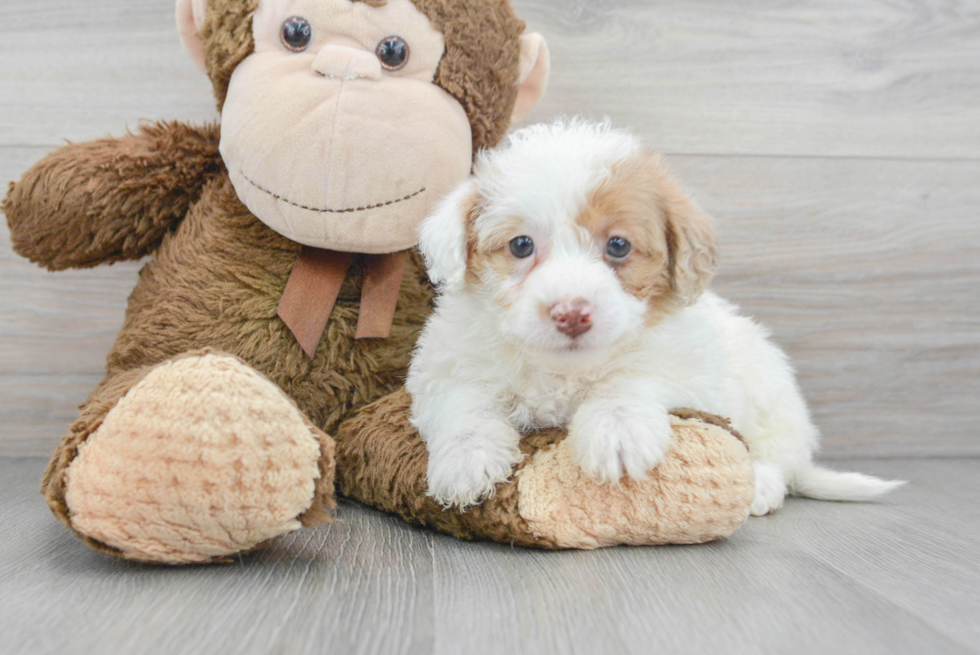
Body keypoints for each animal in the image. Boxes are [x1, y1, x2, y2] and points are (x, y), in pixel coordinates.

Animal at [406, 119, 904, 516]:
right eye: (521, 245)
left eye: (618, 246)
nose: (572, 313)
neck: (566, 370)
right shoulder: (444, 369)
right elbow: (465, 403)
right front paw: (466, 460)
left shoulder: (689, 371)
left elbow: (633, 377)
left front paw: (617, 429)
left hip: (770, 393)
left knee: (779, 457)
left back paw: (761, 484)